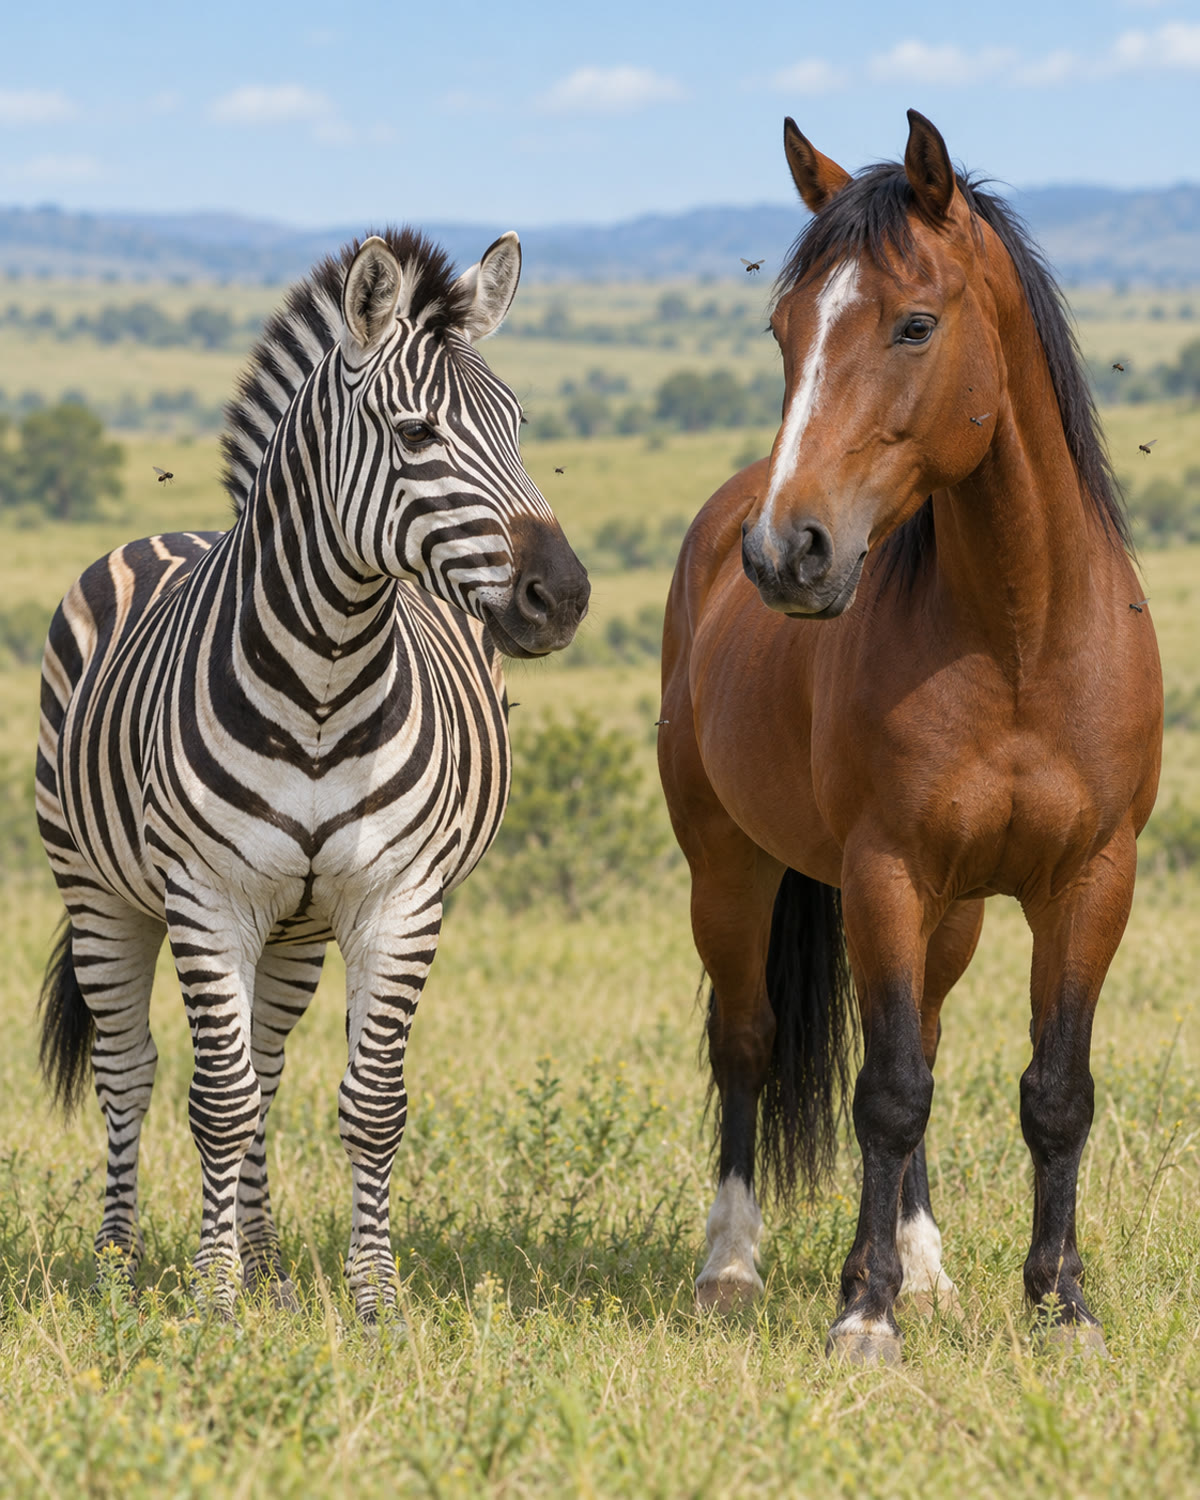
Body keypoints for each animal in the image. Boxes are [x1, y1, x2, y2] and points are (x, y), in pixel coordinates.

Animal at [36, 228, 590, 1320]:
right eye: (416, 434)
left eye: (518, 427)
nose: (564, 595)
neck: (328, 682)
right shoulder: (207, 896)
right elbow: (215, 1101)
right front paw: (212, 1301)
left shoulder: (399, 898)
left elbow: (367, 1105)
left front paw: (372, 1300)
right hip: (97, 890)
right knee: (132, 1070)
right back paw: (120, 1268)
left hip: (295, 928)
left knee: (270, 1070)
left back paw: (272, 1269)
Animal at [658, 110, 1162, 1364]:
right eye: (784, 328)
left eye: (915, 323)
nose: (788, 553)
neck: (1023, 635)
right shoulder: (884, 872)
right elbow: (884, 1093)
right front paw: (863, 1312)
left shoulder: (1093, 879)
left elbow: (1053, 1091)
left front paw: (1060, 1305)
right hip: (728, 870)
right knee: (747, 1043)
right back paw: (730, 1266)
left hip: (958, 913)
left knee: (923, 1035)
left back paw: (932, 1270)